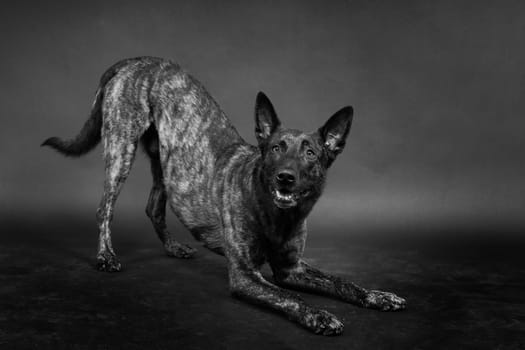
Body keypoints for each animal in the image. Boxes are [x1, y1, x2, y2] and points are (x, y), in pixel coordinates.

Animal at [44, 56, 406, 334]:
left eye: (311, 154)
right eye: (276, 149)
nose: (285, 177)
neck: (277, 214)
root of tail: (136, 61)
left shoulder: (292, 269)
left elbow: (342, 282)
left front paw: (376, 296)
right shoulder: (246, 276)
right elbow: (293, 298)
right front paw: (319, 314)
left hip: (166, 164)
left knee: (153, 207)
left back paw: (173, 247)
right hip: (122, 149)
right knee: (104, 207)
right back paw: (106, 256)